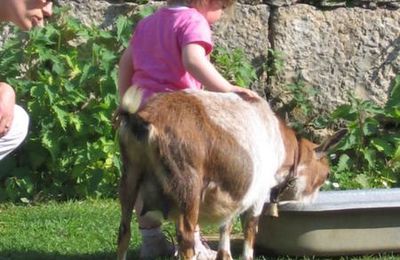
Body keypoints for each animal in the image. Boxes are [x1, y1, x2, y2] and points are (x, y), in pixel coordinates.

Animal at [115, 88, 344, 258]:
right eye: (326, 175)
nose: (311, 202)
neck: (281, 144)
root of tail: (143, 120)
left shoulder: (233, 196)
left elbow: (225, 231)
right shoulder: (257, 195)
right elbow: (250, 231)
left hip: (129, 177)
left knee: (124, 232)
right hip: (187, 189)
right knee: (186, 241)